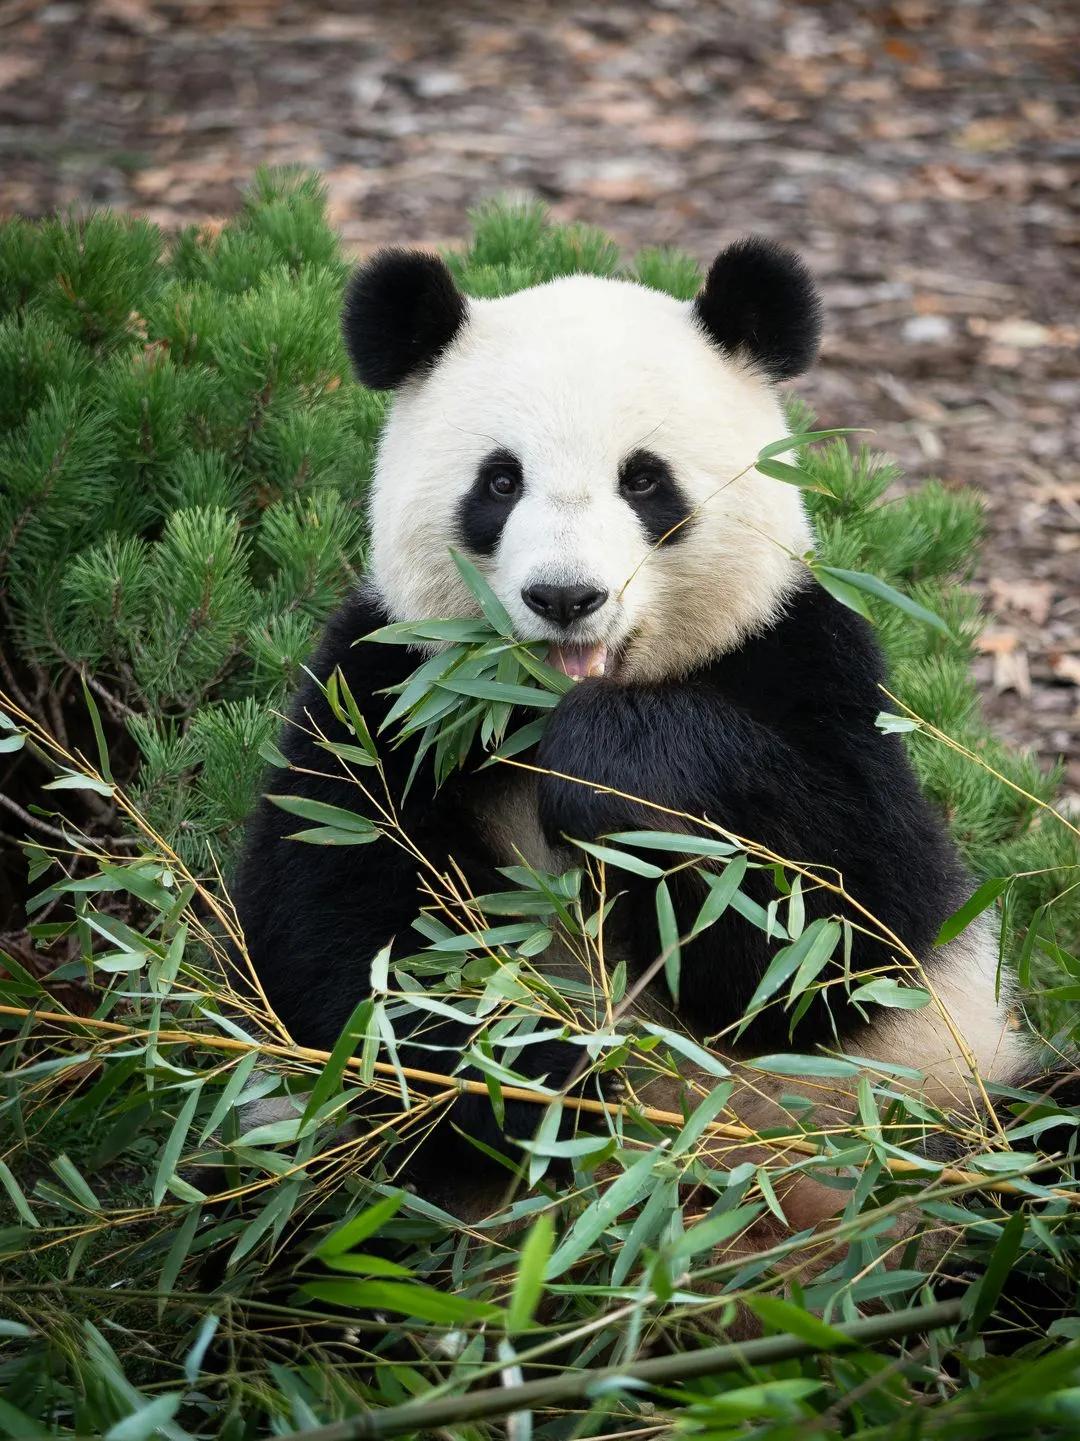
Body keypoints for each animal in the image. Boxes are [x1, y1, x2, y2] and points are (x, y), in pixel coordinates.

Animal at [233, 239, 1026, 1227]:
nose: (564, 596)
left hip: (948, 1106)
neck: (532, 709)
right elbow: (340, 919)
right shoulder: (386, 689)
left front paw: (609, 773)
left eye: (643, 479)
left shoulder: (805, 657)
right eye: (501, 481)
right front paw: (531, 1084)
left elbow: (845, 922)